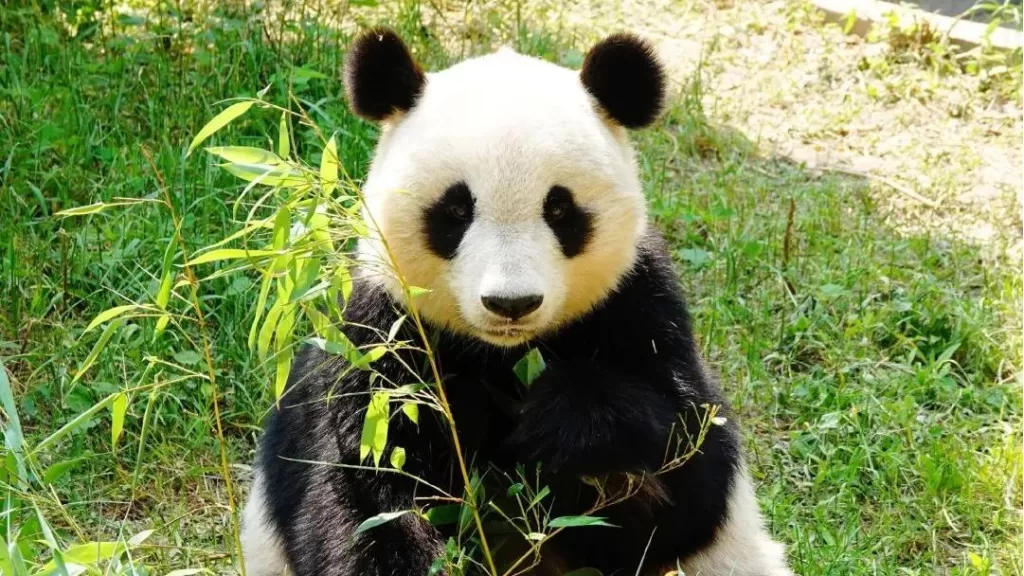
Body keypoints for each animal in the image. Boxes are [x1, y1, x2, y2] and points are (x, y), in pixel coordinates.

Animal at [240, 28, 795, 576]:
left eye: (560, 209)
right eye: (455, 210)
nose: (512, 303)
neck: (503, 352)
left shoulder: (639, 307)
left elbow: (687, 481)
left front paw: (567, 424)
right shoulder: (381, 336)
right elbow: (363, 497)